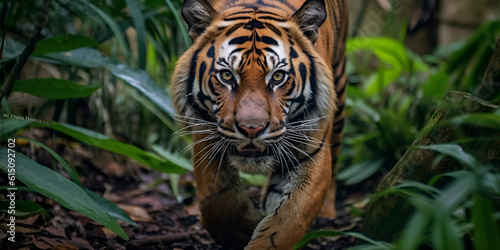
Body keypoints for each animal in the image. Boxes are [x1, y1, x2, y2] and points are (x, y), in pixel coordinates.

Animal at [171, 0, 348, 247]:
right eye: (227, 75)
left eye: (278, 77)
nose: (251, 129)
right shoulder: (207, 139)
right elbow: (215, 202)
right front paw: (248, 226)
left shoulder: (312, 152)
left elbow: (287, 222)